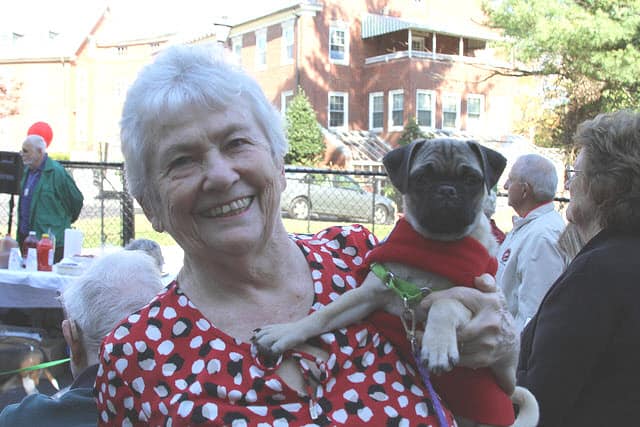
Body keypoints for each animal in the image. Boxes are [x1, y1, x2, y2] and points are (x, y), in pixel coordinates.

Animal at [252, 139, 536, 426]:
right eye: (422, 178)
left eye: (471, 180)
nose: (447, 190)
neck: (433, 247)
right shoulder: (368, 295)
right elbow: (323, 315)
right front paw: (284, 333)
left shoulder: (473, 297)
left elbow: (445, 303)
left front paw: (437, 345)